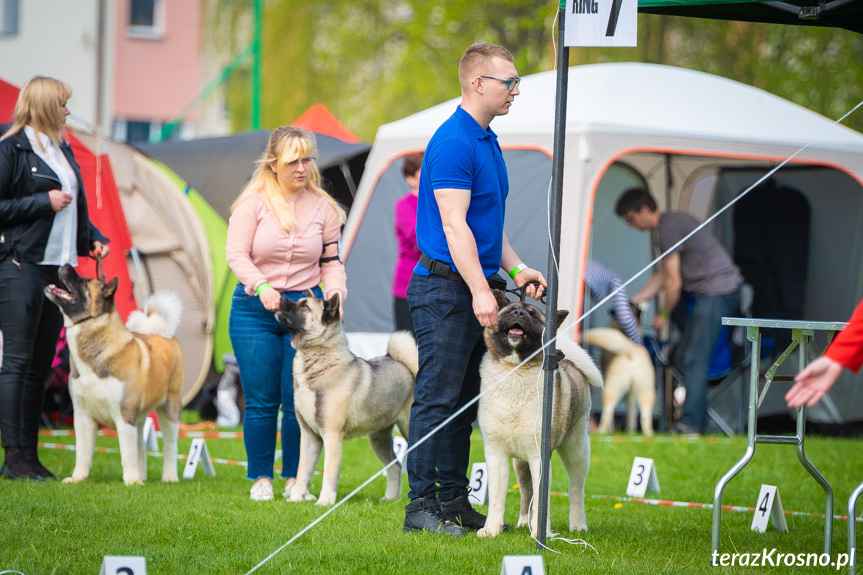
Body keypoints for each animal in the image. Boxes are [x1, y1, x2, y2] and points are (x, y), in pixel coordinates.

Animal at [44, 266, 183, 486]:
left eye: (85, 281)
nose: (65, 265)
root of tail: (163, 334)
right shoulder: (83, 416)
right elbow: (82, 452)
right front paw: (78, 478)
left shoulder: (124, 416)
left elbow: (127, 453)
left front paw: (132, 481)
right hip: (140, 416)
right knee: (140, 444)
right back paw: (143, 475)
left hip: (169, 408)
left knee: (170, 445)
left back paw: (169, 477)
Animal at [274, 294, 416, 506]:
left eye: (305, 305)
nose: (281, 297)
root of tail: (406, 366)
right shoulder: (309, 437)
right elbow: (302, 471)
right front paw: (296, 498)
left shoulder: (332, 436)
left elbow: (329, 472)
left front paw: (324, 502)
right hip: (379, 439)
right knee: (395, 465)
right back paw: (389, 498)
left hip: (408, 430)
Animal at [480, 292, 600, 540]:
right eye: (511, 311)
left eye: (533, 315)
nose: (519, 313)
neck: (514, 370)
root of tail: (571, 364)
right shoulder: (496, 455)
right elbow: (496, 497)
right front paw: (491, 530)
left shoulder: (539, 457)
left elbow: (542, 500)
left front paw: (541, 533)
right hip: (520, 464)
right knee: (527, 493)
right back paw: (522, 522)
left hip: (577, 450)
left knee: (575, 490)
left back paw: (578, 525)